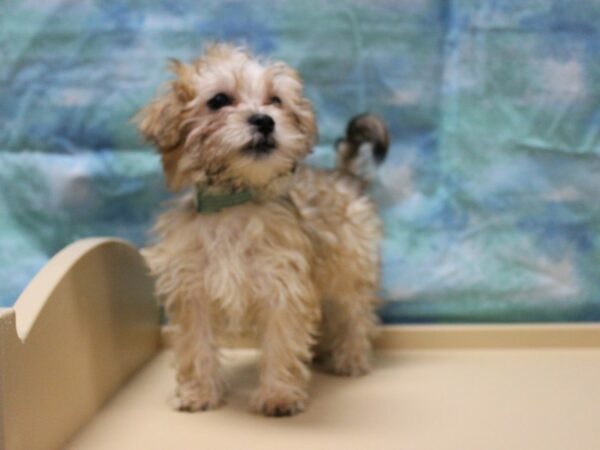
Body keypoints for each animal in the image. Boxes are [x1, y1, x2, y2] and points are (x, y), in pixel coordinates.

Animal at [137, 44, 390, 416]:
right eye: (218, 100)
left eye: (275, 100)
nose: (264, 120)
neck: (234, 201)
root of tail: (343, 175)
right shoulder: (192, 288)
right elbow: (196, 344)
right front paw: (199, 393)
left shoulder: (282, 286)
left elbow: (282, 341)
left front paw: (278, 395)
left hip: (351, 269)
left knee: (354, 314)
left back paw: (350, 357)